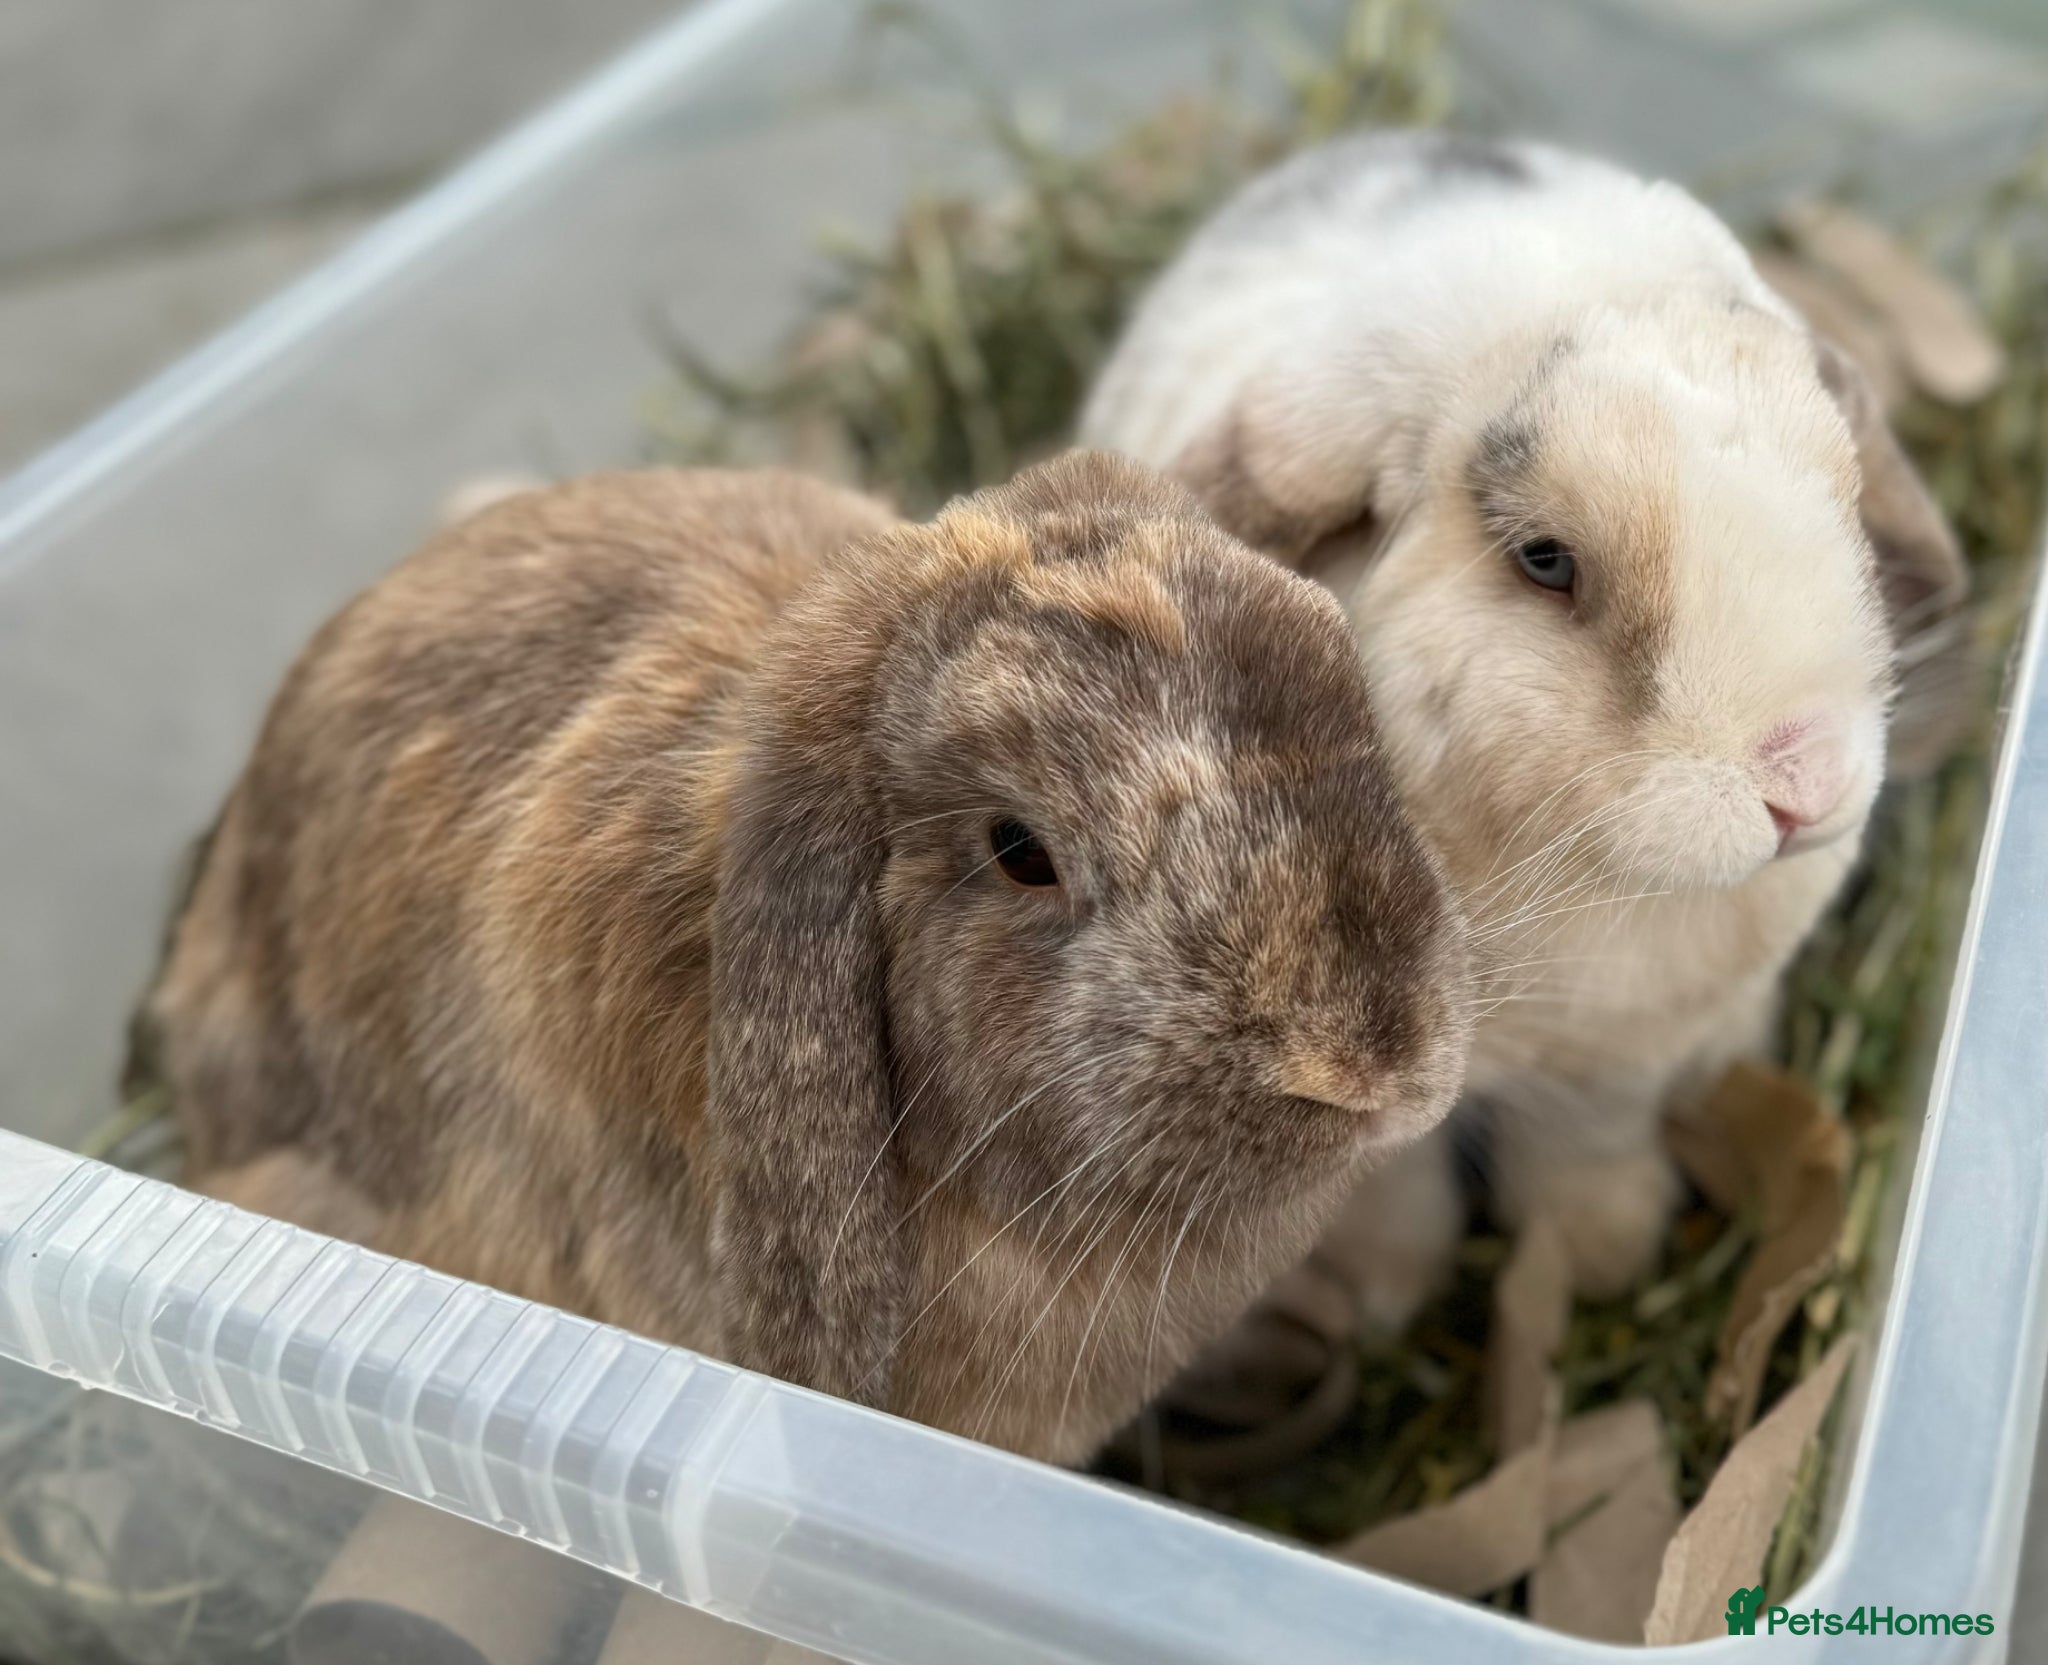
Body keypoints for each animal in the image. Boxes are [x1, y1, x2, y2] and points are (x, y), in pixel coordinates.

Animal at [1082, 133, 1973, 1324]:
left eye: (1844, 492)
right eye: (1544, 559)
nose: (1804, 786)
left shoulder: (1613, 1069)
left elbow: (1582, 1155)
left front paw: (1601, 1258)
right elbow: (1388, 1197)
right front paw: (1379, 1300)